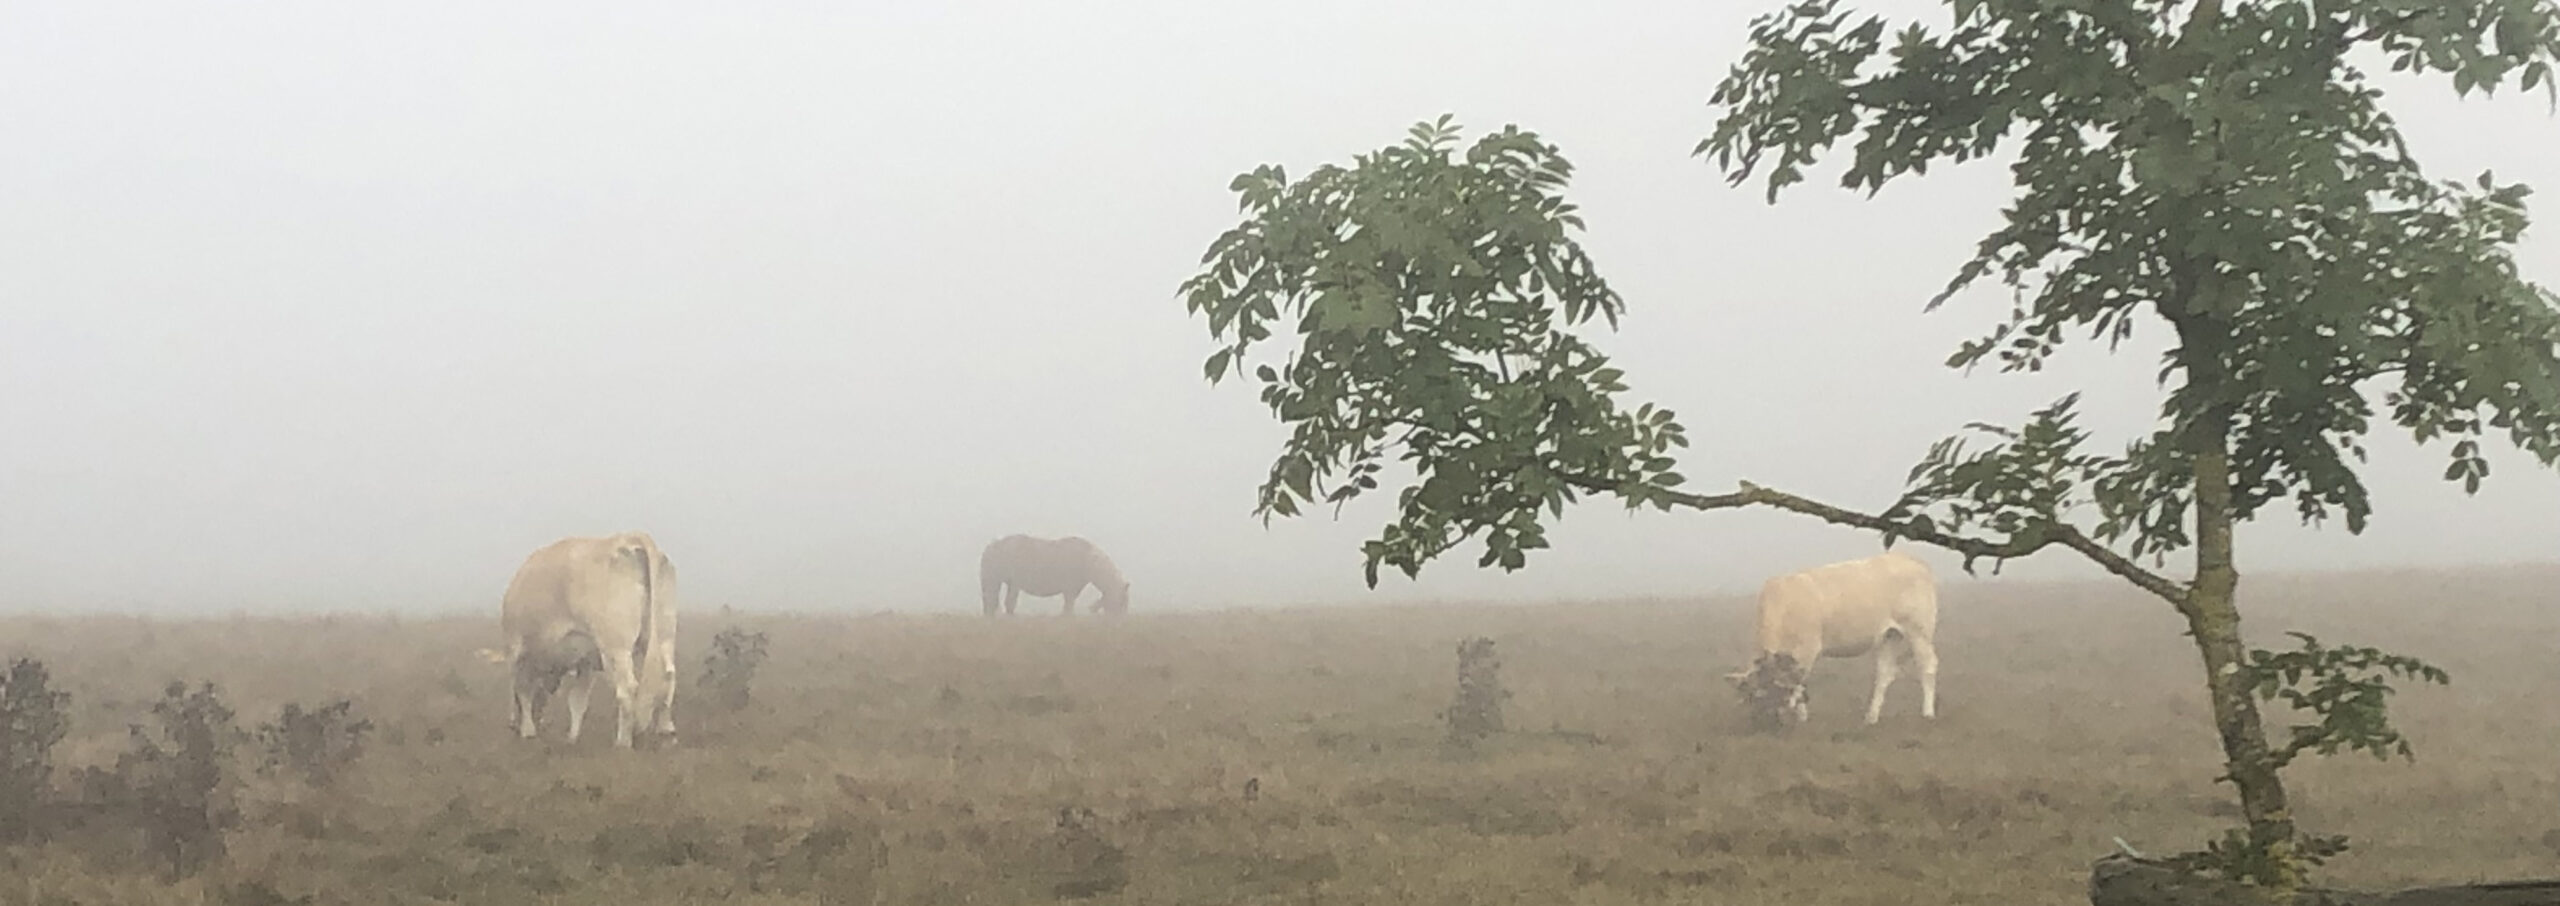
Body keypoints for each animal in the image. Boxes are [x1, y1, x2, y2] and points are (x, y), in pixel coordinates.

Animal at [481, 529, 680, 752]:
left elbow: (523, 690)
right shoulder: (586, 662)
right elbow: (577, 700)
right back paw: (666, 733)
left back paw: (623, 743)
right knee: (669, 676)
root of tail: (631, 538)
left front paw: (527, 731)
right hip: (664, 635)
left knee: (627, 688)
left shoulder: (517, 651)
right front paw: (572, 738)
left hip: (616, 647)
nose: (512, 727)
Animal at [977, 534, 1131, 619]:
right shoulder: (1070, 588)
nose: (1121, 621)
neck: (1089, 561)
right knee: (1004, 602)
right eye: (1122, 601)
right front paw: (1067, 618)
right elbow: (1068, 605)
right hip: (1007, 583)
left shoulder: (1074, 588)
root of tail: (990, 547)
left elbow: (1069, 603)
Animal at [1730, 545, 1925, 726]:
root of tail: (1909, 559)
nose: (1764, 724)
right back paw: (1871, 718)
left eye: (1773, 695)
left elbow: (1799, 683)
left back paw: (1927, 714)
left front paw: (1801, 717)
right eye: (1754, 698)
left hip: (1919, 631)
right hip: (1889, 636)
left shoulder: (1807, 650)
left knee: (1927, 667)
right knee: (1884, 674)